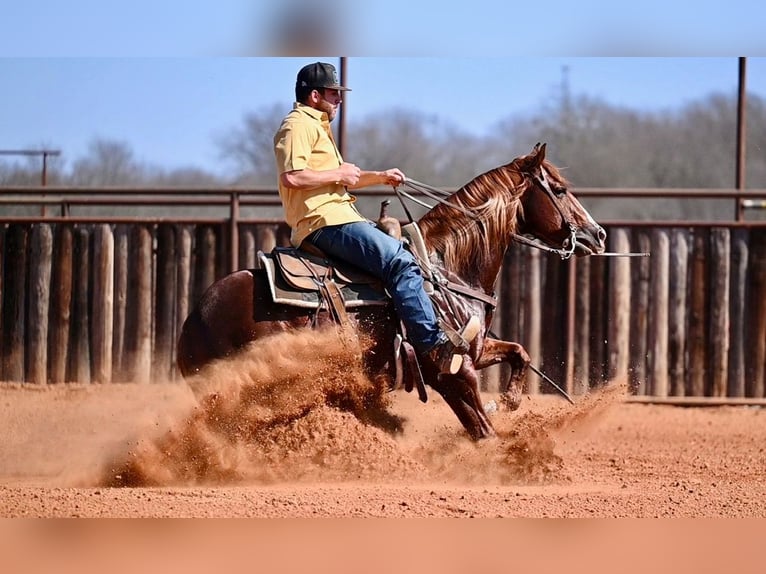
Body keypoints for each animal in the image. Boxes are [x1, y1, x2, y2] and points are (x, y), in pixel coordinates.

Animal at [176, 143, 607, 441]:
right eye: (560, 190)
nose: (599, 234)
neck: (445, 269)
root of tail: (195, 318)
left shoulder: (475, 350)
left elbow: (519, 353)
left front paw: (511, 399)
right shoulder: (450, 370)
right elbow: (483, 430)